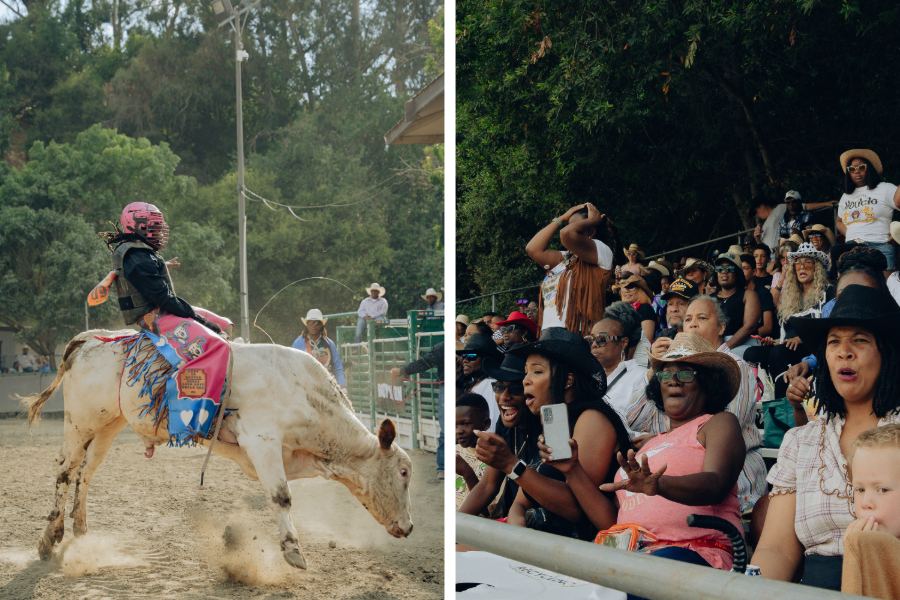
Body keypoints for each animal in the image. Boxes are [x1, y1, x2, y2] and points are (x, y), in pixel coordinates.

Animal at [22, 330, 414, 568]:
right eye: (404, 472)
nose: (409, 528)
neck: (302, 391)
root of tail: (90, 338)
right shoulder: (262, 441)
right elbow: (281, 496)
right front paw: (293, 551)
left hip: (108, 426)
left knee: (86, 472)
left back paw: (80, 527)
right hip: (79, 422)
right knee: (65, 469)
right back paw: (49, 538)